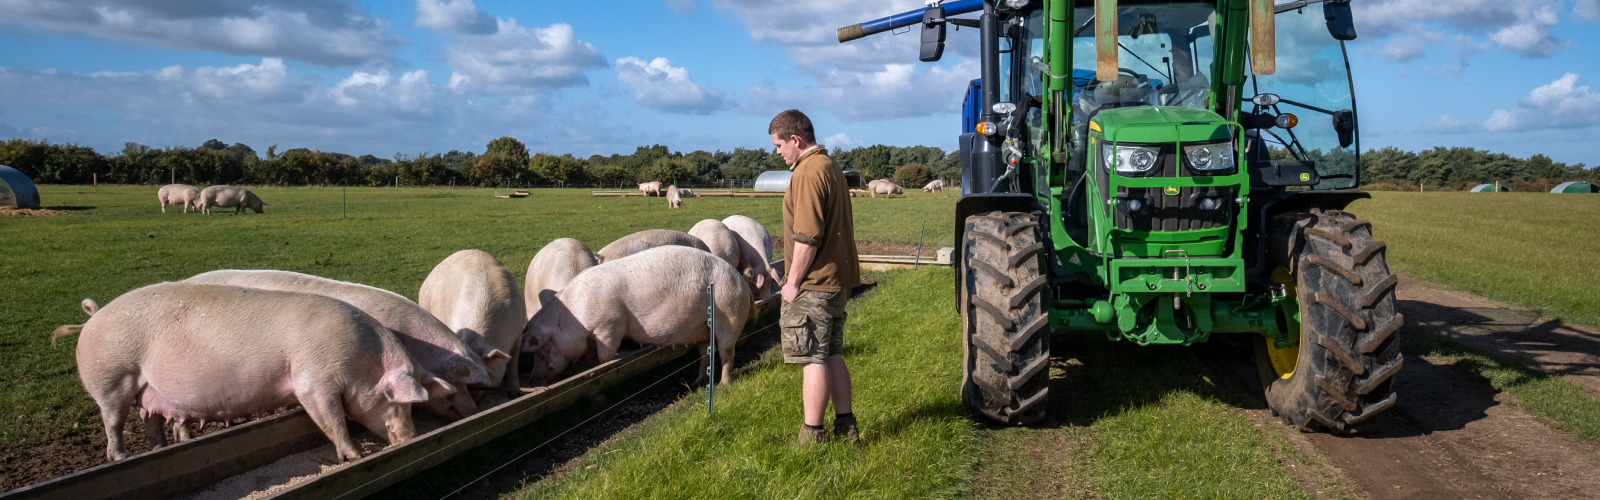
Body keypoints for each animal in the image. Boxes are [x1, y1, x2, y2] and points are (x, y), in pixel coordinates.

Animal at [51, 283, 451, 461]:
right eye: (398, 402)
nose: (411, 437)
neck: (362, 362)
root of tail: (92, 319)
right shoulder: (313, 380)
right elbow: (333, 422)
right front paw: (355, 456)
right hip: (110, 379)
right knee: (113, 422)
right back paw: (120, 458)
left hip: (146, 388)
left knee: (150, 417)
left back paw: (159, 449)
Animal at [521, 246, 752, 386]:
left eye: (542, 350)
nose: (531, 381)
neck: (576, 316)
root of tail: (742, 282)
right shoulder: (592, 335)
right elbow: (588, 358)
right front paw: (584, 369)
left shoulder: (609, 326)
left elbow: (605, 356)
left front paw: (602, 367)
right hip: (704, 327)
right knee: (705, 354)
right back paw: (696, 384)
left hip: (729, 313)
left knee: (726, 353)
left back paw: (722, 385)